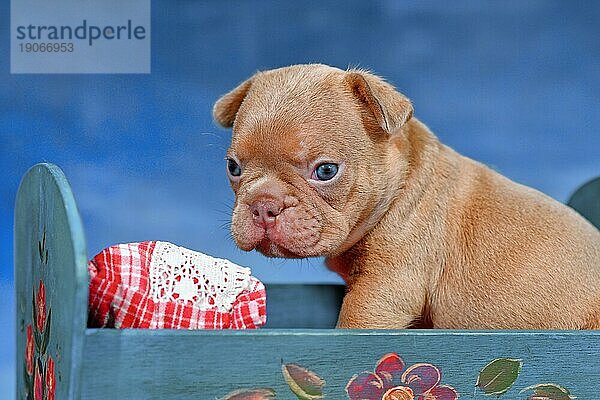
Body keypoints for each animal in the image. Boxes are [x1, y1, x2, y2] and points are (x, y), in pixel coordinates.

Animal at [212, 64, 600, 330]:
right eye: (233, 167)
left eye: (325, 171)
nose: (264, 204)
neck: (400, 182)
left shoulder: (383, 288)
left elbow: (353, 325)